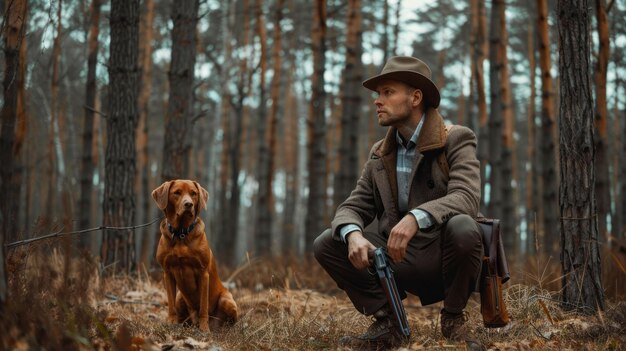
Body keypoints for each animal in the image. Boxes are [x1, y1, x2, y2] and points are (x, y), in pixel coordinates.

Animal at [152, 180, 238, 332]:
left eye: (194, 193)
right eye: (177, 192)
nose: (189, 204)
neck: (181, 233)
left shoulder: (203, 273)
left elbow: (203, 306)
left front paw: (204, 329)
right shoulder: (167, 273)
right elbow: (170, 304)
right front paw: (171, 324)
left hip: (227, 300)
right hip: (180, 297)